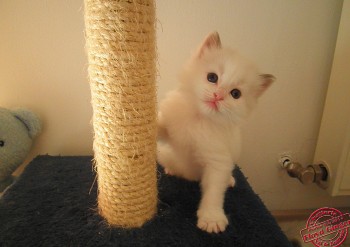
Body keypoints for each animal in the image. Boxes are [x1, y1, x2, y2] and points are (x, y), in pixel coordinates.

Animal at [157, 32, 274, 233]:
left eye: (235, 94)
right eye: (212, 77)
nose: (217, 96)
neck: (199, 120)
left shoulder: (218, 162)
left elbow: (213, 192)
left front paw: (212, 218)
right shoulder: (169, 129)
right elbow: (160, 127)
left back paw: (230, 180)